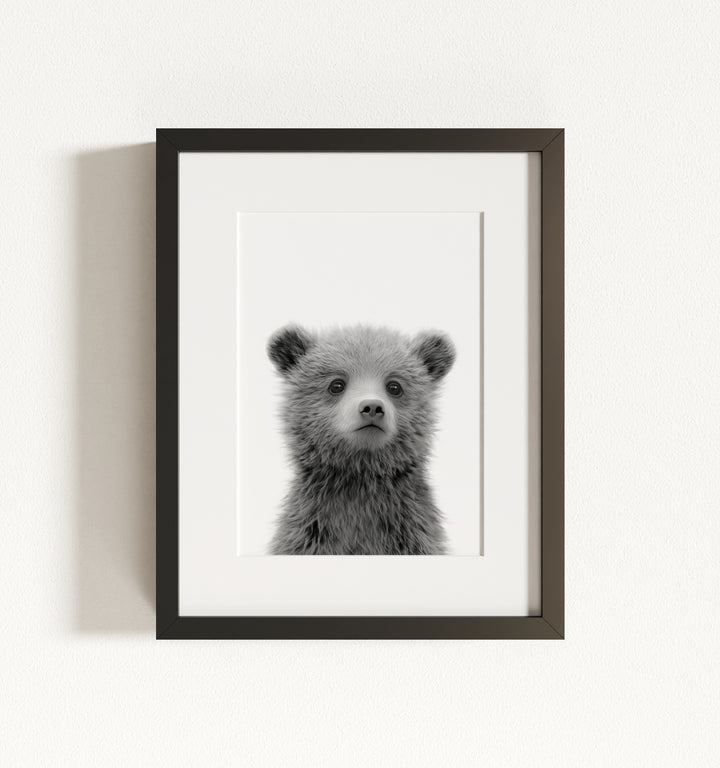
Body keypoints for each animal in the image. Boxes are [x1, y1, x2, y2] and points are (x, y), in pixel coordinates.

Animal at [267, 324, 455, 555]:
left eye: (394, 386)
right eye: (336, 384)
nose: (372, 407)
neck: (359, 476)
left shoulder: (410, 533)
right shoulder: (311, 532)